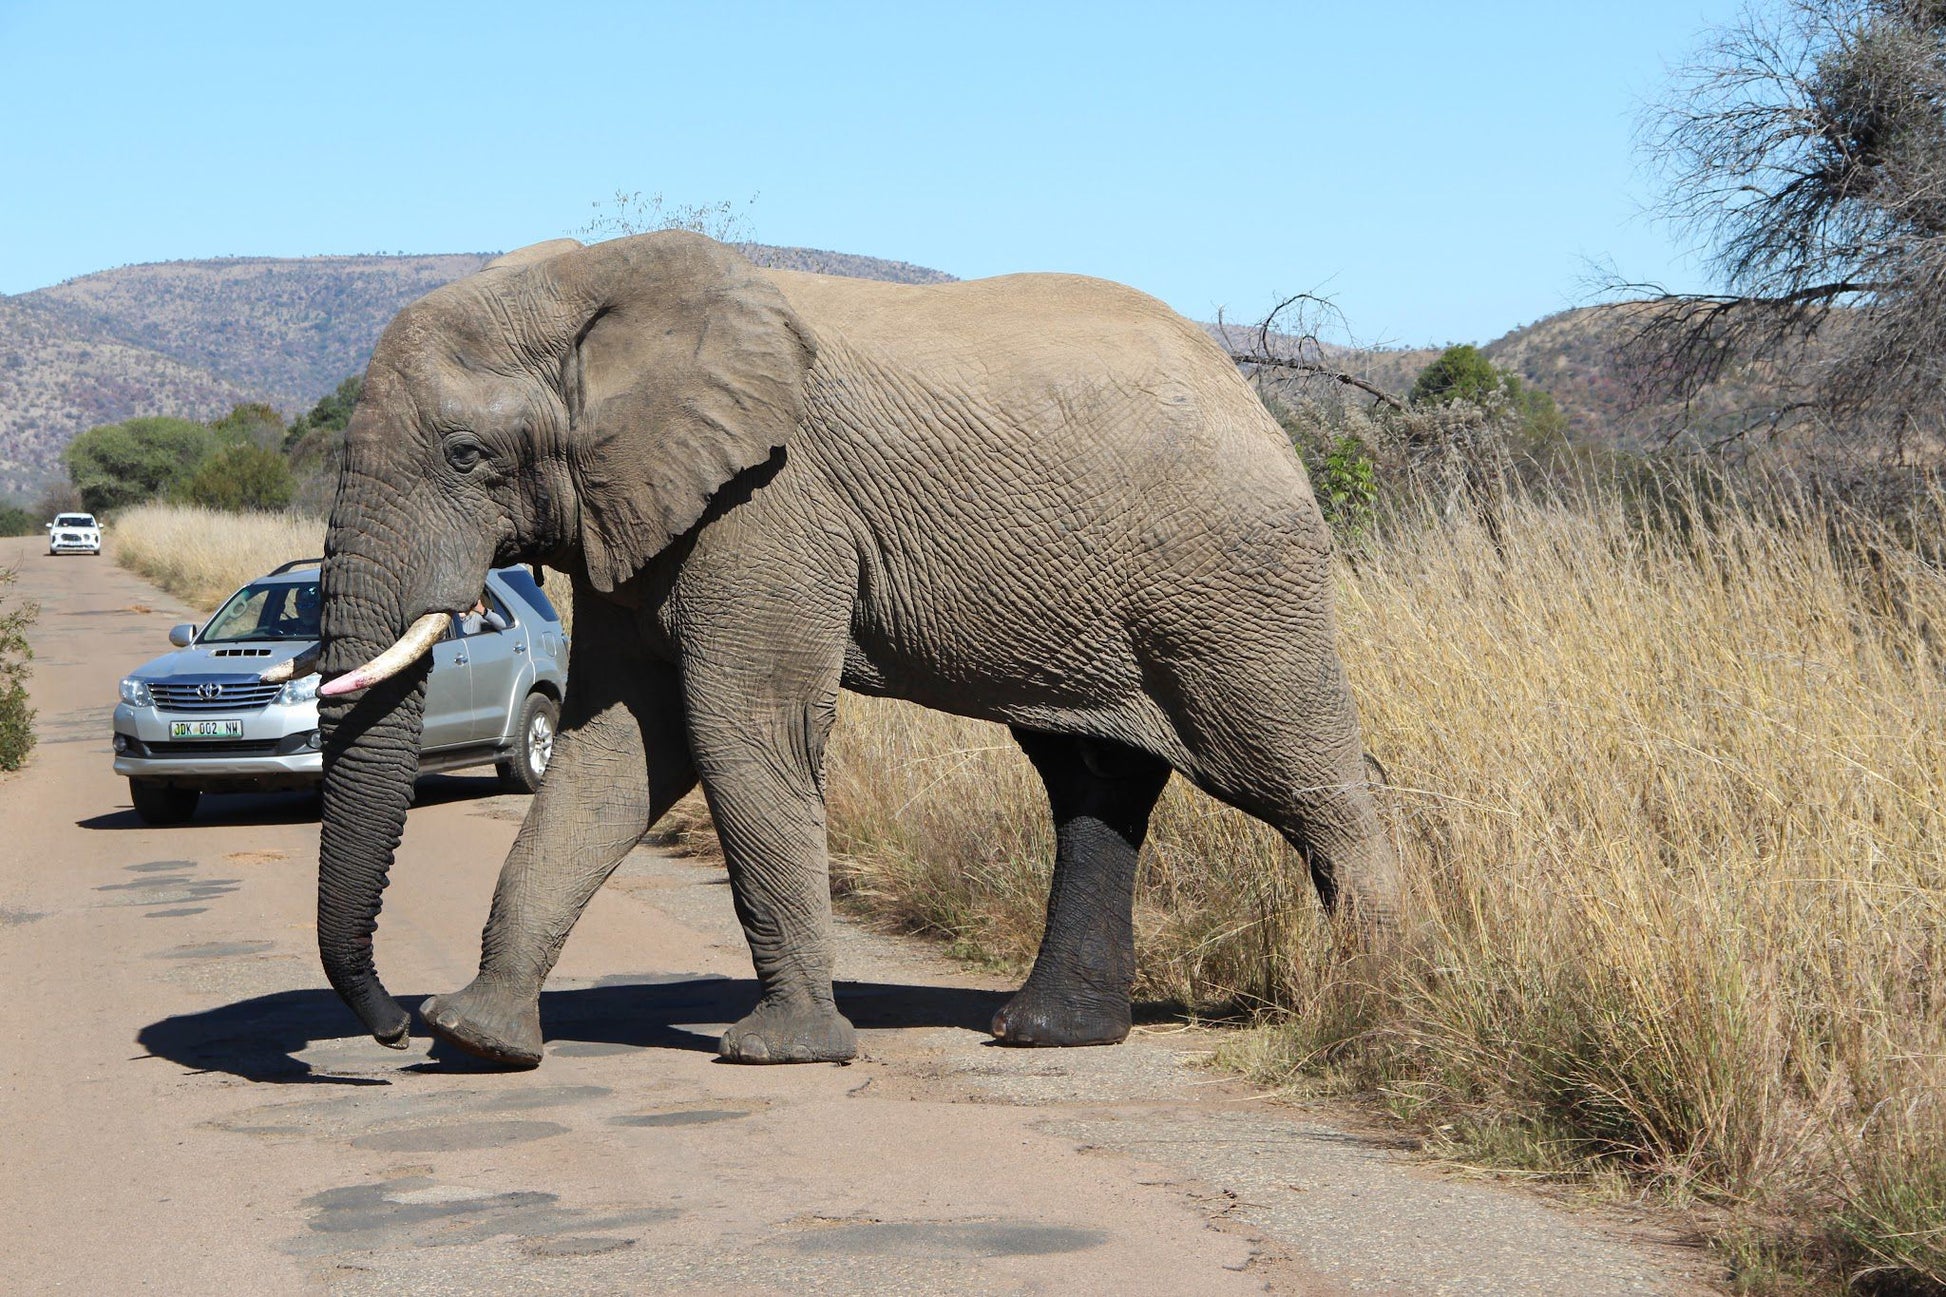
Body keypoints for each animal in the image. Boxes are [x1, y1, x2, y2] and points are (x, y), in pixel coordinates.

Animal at [307, 229, 1401, 1059]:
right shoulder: (638, 515)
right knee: (1095, 780)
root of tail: (1252, 398)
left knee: (1304, 777)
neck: (594, 287)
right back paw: (1045, 1032)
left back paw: (1368, 1012)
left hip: (1234, 582)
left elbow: (738, 731)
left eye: (465, 454)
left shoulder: (769, 507)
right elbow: (613, 749)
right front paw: (478, 1036)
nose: (391, 1029)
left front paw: (782, 1050)